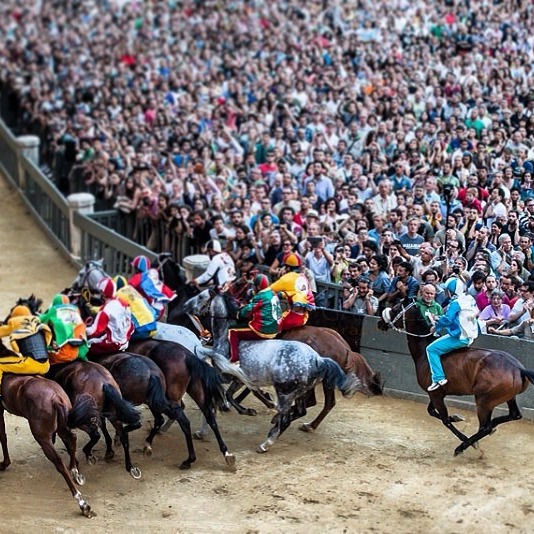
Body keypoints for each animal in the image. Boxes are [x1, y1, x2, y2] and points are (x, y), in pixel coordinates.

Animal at [184, 292, 364, 454]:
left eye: (201, 297)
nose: (186, 307)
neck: (224, 336)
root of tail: (319, 359)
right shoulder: (240, 379)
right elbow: (236, 394)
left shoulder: (226, 375)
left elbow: (226, 397)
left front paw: (247, 408)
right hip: (302, 391)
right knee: (305, 409)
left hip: (286, 392)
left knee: (291, 417)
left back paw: (267, 443)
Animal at [378, 300, 534, 458]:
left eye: (396, 308)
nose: (380, 322)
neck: (423, 352)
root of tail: (518, 368)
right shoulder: (436, 393)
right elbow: (432, 411)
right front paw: (457, 417)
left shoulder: (435, 395)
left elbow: (445, 420)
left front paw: (466, 440)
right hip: (508, 397)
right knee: (514, 415)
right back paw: (493, 425)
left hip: (484, 401)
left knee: (484, 427)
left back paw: (463, 446)